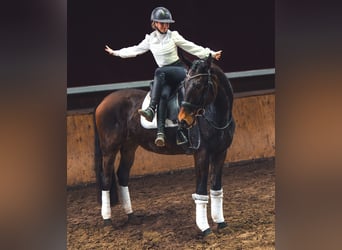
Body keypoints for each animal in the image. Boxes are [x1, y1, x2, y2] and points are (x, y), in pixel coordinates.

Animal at [93, 55, 235, 238]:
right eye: (185, 85)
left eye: (198, 85)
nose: (183, 120)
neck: (215, 115)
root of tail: (103, 101)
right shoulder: (201, 154)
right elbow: (201, 190)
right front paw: (205, 229)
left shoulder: (221, 152)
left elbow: (216, 188)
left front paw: (221, 223)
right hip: (110, 149)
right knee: (106, 178)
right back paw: (107, 221)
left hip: (129, 147)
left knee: (122, 175)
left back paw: (131, 217)